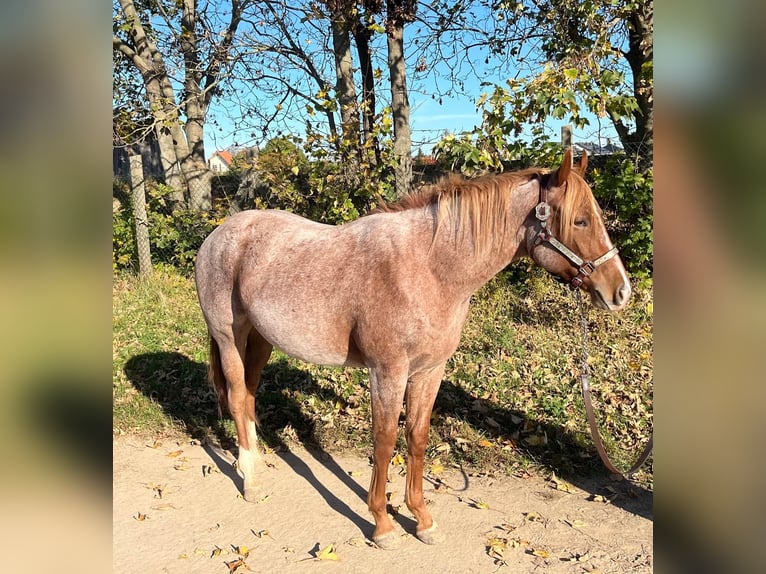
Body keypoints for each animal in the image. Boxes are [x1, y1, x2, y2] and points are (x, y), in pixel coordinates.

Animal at [195, 151, 632, 552]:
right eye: (580, 221)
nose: (620, 292)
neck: (427, 269)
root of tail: (220, 235)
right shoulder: (387, 371)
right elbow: (385, 439)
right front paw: (382, 524)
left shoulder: (430, 370)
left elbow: (417, 437)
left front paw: (422, 519)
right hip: (229, 337)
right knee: (237, 396)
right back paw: (250, 479)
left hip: (261, 340)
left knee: (250, 396)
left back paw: (255, 462)